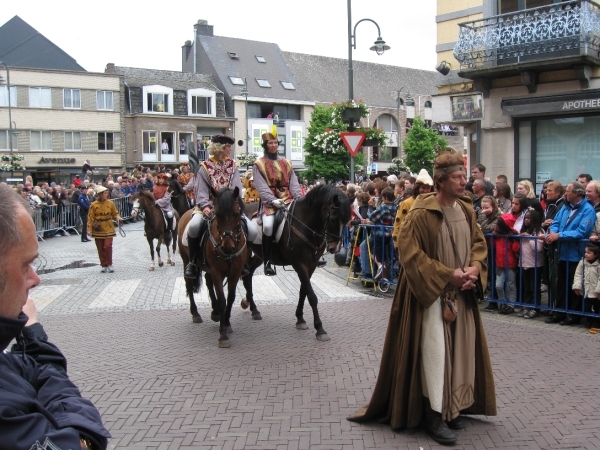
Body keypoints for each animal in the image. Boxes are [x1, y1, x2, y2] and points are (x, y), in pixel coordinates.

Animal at [178, 186, 258, 348]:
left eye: (237, 213)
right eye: (218, 214)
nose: (227, 247)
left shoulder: (235, 272)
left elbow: (231, 298)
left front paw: (226, 322)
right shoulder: (217, 272)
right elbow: (222, 300)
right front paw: (223, 335)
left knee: (208, 282)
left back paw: (215, 313)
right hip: (186, 260)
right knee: (189, 284)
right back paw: (196, 313)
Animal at [244, 183, 350, 342]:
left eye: (347, 221)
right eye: (333, 218)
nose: (334, 248)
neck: (307, 224)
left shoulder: (311, 265)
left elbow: (303, 292)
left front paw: (300, 319)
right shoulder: (299, 264)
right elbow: (312, 296)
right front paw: (319, 328)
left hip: (259, 255)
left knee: (249, 273)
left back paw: (253, 308)